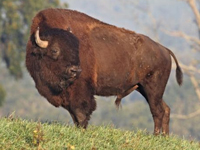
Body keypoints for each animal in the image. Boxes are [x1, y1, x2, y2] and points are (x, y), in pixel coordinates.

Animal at [26, 7, 183, 135]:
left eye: (76, 49)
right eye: (54, 50)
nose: (75, 70)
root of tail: (164, 49)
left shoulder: (81, 92)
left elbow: (81, 113)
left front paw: (82, 131)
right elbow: (74, 114)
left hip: (153, 88)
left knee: (158, 111)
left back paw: (156, 136)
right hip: (144, 88)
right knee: (165, 109)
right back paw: (164, 137)